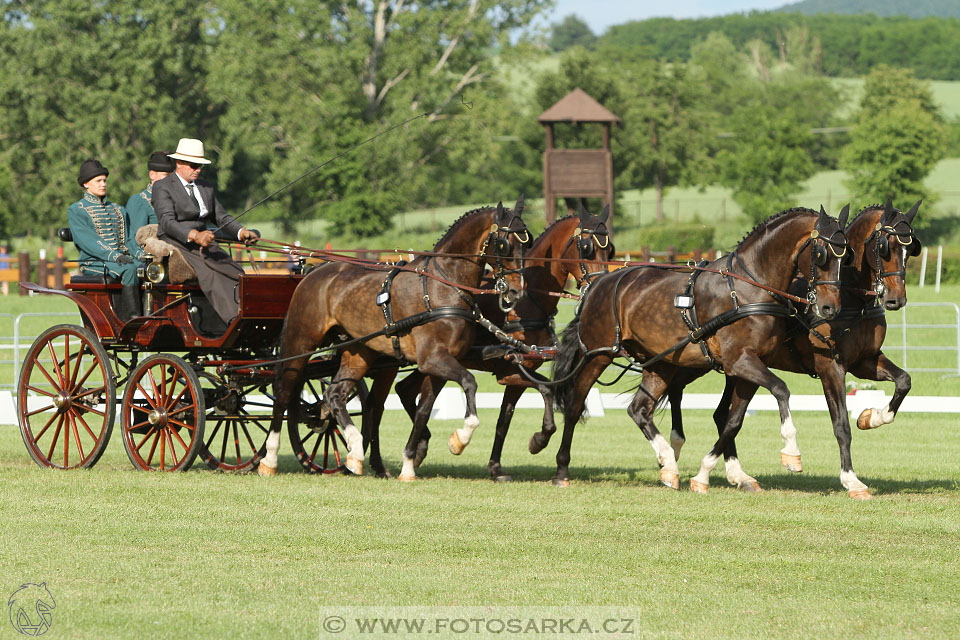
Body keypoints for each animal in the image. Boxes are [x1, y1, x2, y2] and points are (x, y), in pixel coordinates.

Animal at [258, 198, 528, 478]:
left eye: (527, 243)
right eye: (504, 244)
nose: (516, 291)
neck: (443, 287)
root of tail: (315, 271)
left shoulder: (440, 363)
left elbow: (423, 410)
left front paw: (408, 464)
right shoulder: (432, 359)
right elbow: (469, 382)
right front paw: (459, 440)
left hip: (359, 351)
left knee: (335, 395)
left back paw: (355, 452)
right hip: (300, 341)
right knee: (284, 391)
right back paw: (270, 458)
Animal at [388, 202, 620, 478]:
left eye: (610, 249)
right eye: (586, 248)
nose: (600, 287)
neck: (527, 301)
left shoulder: (521, 370)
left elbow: (505, 420)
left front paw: (497, 466)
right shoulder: (510, 370)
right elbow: (544, 390)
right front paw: (537, 441)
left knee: (404, 390)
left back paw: (420, 447)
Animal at [548, 205, 848, 490]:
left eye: (846, 256)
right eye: (821, 254)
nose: (830, 308)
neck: (748, 288)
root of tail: (598, 283)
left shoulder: (749, 366)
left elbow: (733, 421)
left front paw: (709, 474)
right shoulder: (739, 361)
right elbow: (781, 390)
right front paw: (791, 452)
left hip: (661, 363)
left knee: (639, 409)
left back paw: (669, 464)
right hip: (598, 354)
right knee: (575, 405)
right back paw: (562, 470)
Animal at [668, 200, 924, 500]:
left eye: (911, 248)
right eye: (884, 246)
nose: (896, 299)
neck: (852, 297)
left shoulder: (865, 361)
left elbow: (904, 381)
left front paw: (872, 417)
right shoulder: (830, 367)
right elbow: (841, 426)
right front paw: (851, 480)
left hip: (735, 367)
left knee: (722, 415)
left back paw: (734, 475)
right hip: (691, 362)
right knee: (672, 392)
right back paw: (673, 454)